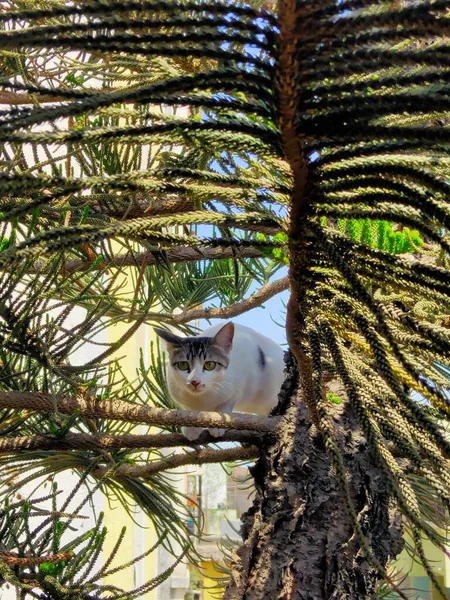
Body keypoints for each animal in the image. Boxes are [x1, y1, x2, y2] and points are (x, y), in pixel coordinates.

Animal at [153, 324, 284, 440]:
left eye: (210, 365)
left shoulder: (243, 373)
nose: (195, 381)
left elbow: (226, 404)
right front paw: (192, 427)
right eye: (183, 365)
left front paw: (219, 423)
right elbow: (189, 409)